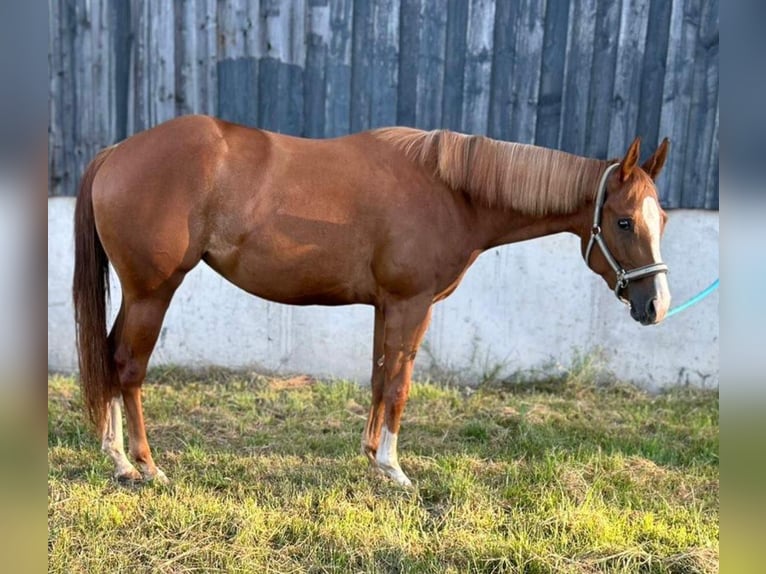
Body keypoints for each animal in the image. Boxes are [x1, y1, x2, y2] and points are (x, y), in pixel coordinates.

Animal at [72, 116, 672, 486]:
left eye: (661, 219)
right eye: (623, 221)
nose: (656, 307)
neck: (451, 190)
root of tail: (116, 152)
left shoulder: (387, 305)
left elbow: (381, 375)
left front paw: (370, 459)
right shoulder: (412, 303)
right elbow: (401, 383)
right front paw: (394, 468)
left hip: (138, 294)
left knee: (107, 358)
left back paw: (115, 456)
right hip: (153, 291)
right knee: (127, 366)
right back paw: (143, 465)